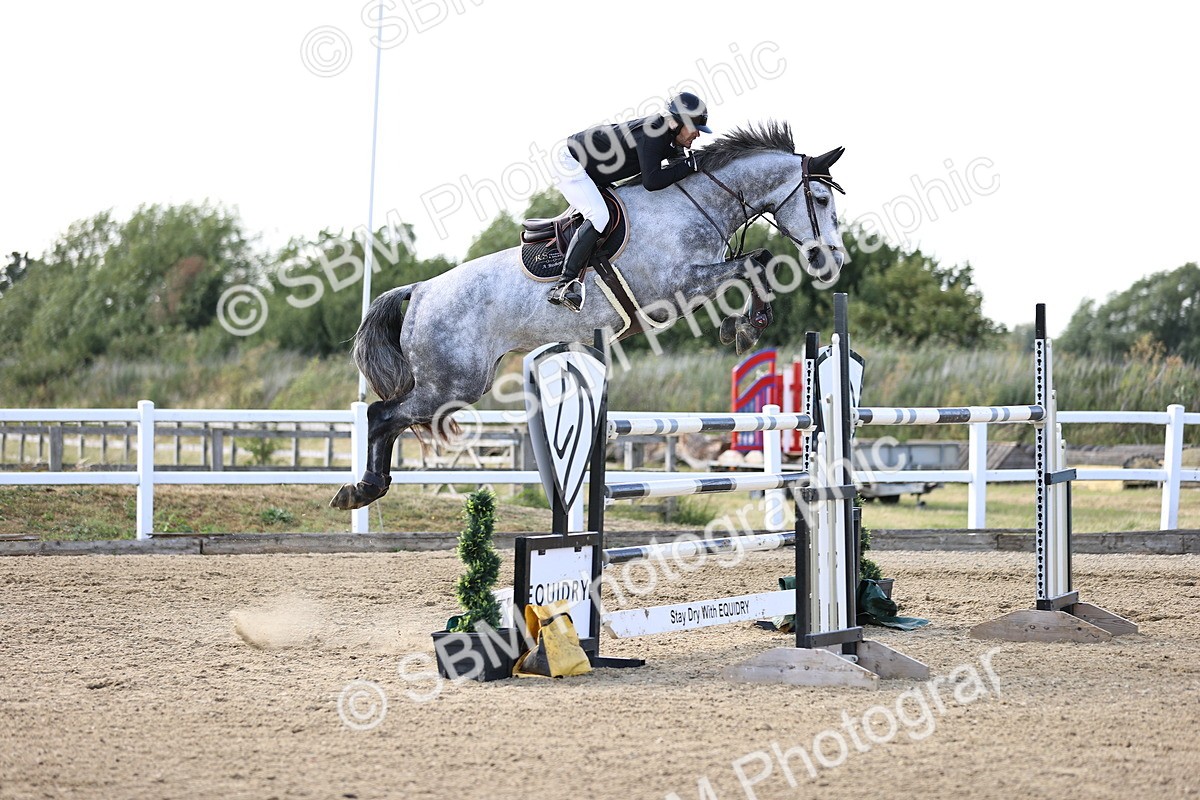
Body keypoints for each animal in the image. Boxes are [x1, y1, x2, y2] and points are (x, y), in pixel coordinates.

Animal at [330, 121, 846, 510]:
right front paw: (745, 328)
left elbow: (753, 263)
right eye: (821, 201)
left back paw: (364, 488)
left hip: (457, 383)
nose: (833, 262)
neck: (694, 205)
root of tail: (419, 290)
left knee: (389, 418)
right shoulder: (675, 287)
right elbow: (753, 263)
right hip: (452, 383)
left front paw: (741, 326)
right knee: (380, 414)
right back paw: (360, 490)